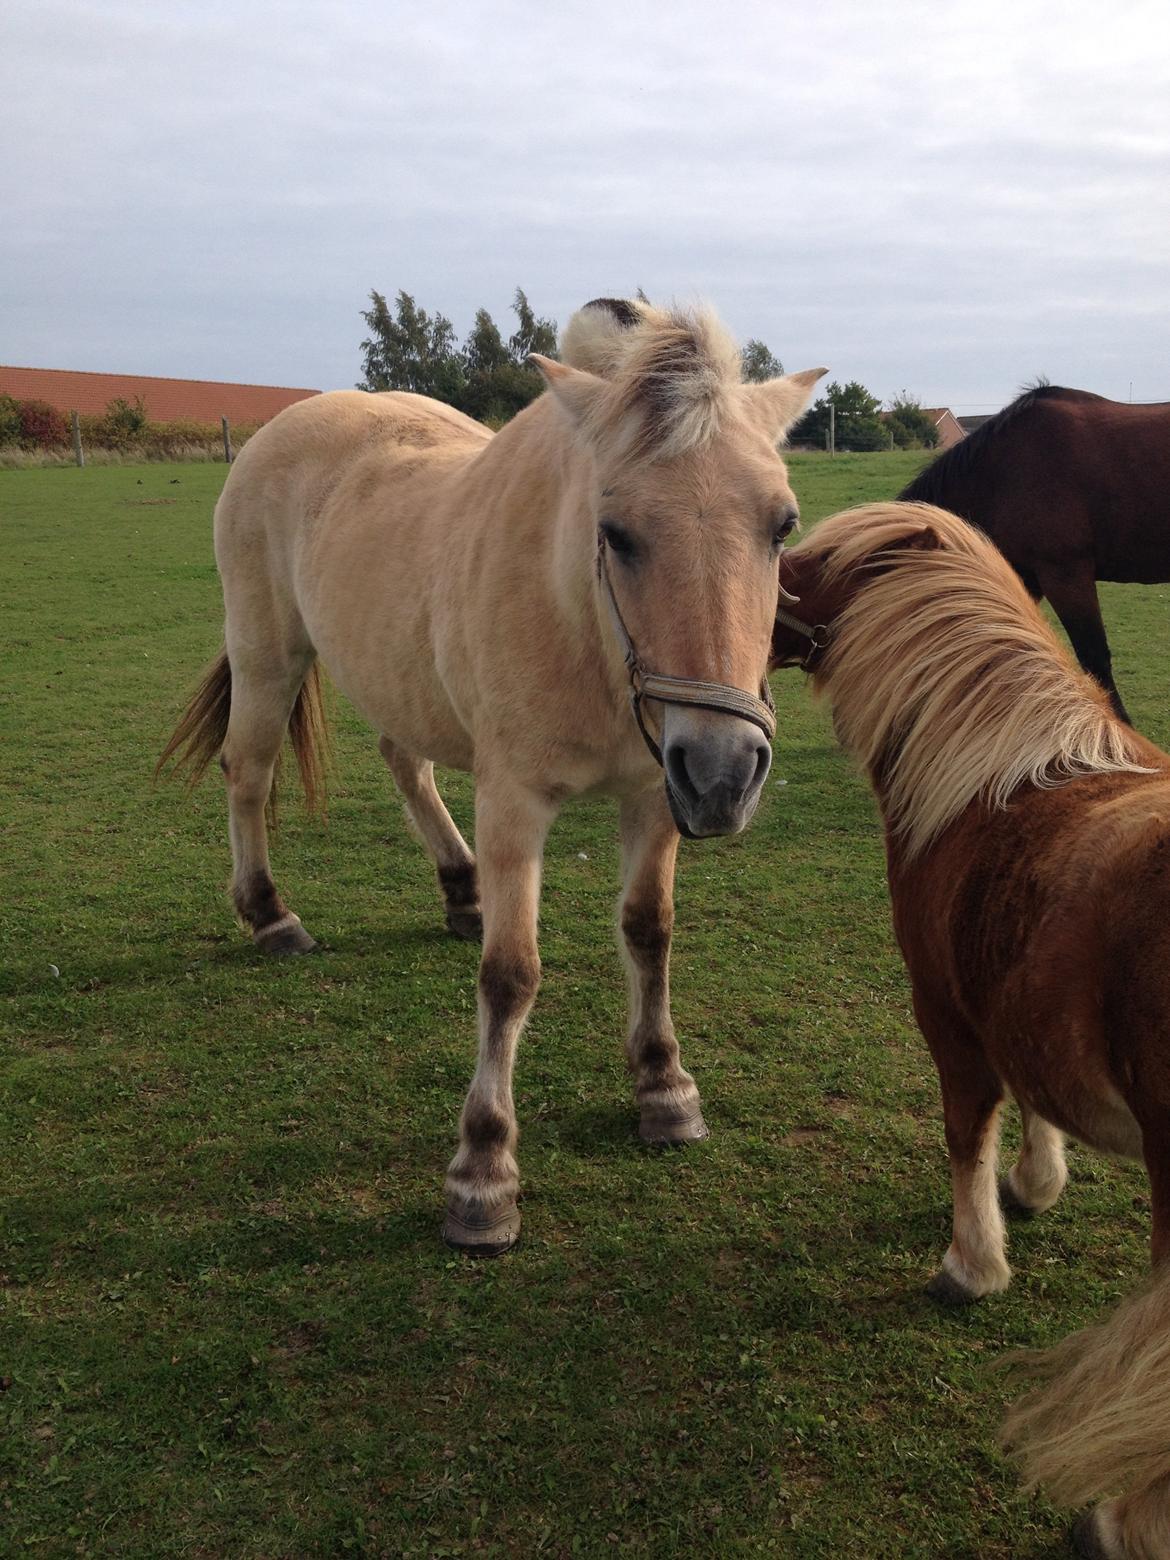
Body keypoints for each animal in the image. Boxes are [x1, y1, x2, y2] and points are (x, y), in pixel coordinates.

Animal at [160, 297, 829, 1254]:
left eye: (782, 524)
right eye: (616, 532)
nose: (725, 773)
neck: (586, 631)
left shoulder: (653, 794)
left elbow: (649, 931)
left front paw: (664, 1088)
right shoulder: (515, 801)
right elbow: (511, 975)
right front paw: (483, 1172)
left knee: (406, 765)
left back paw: (459, 889)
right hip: (266, 655)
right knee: (247, 773)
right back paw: (270, 915)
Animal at [780, 502, 1170, 1560]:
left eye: (808, 562)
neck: (1011, 775)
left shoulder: (944, 1014)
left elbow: (965, 1133)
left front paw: (971, 1264)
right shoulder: (1008, 997)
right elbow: (1030, 1097)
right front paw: (1036, 1187)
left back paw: (1122, 1523)